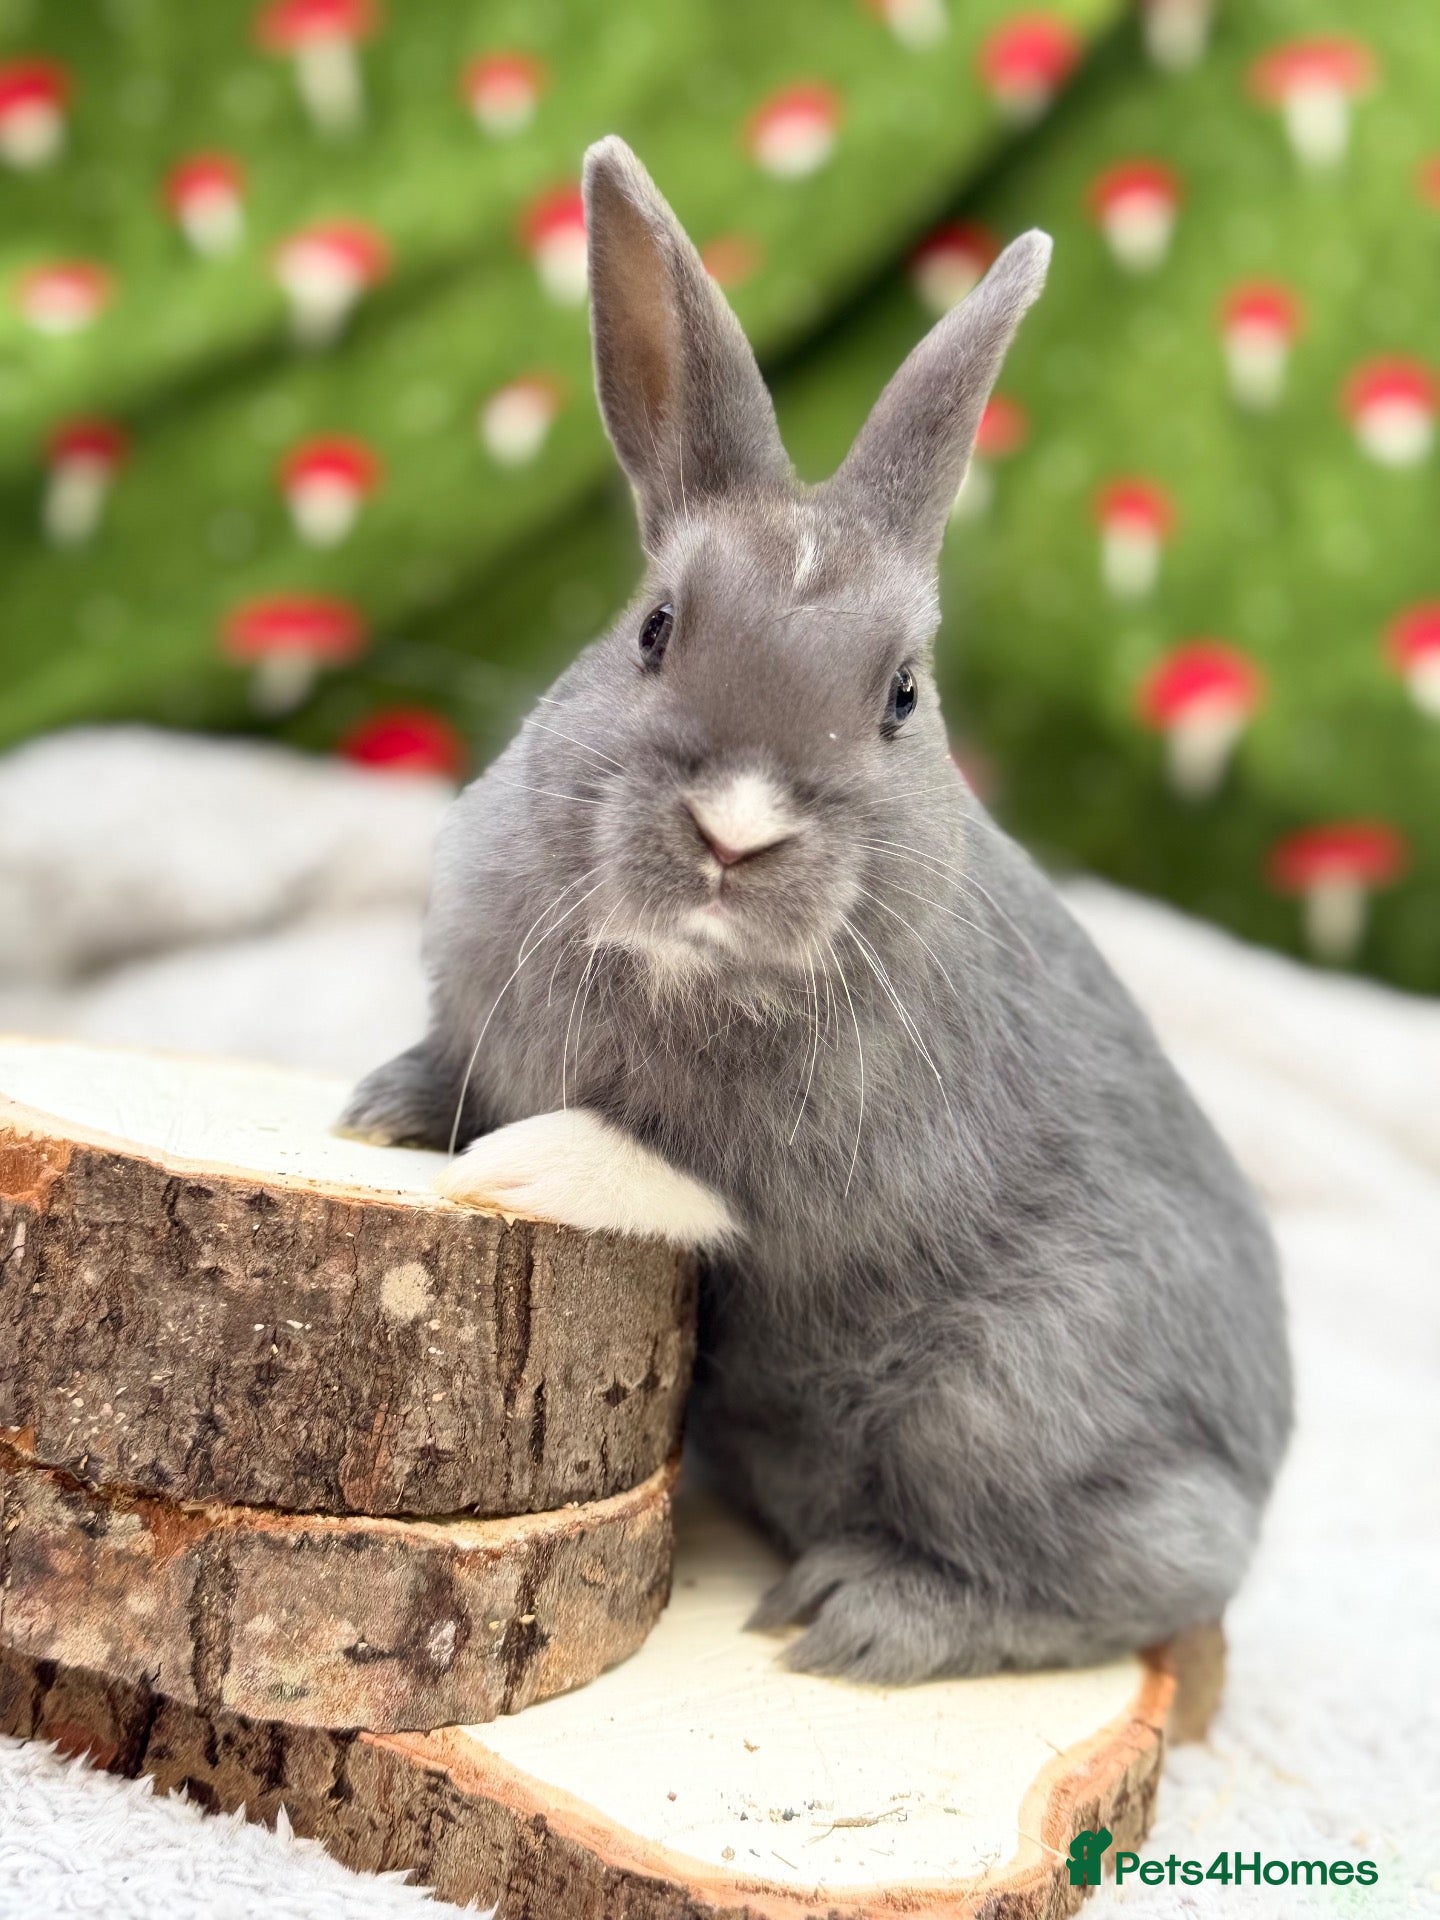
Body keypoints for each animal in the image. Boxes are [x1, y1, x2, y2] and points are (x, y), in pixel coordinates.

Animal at [342, 136, 1292, 1683]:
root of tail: (1259, 1458)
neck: (687, 961)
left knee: (1149, 1577)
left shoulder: (814, 1180)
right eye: (655, 628)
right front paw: (378, 1114)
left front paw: (523, 1167)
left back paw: (861, 1612)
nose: (738, 830)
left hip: (996, 1407)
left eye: (902, 695)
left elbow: (672, 1177)